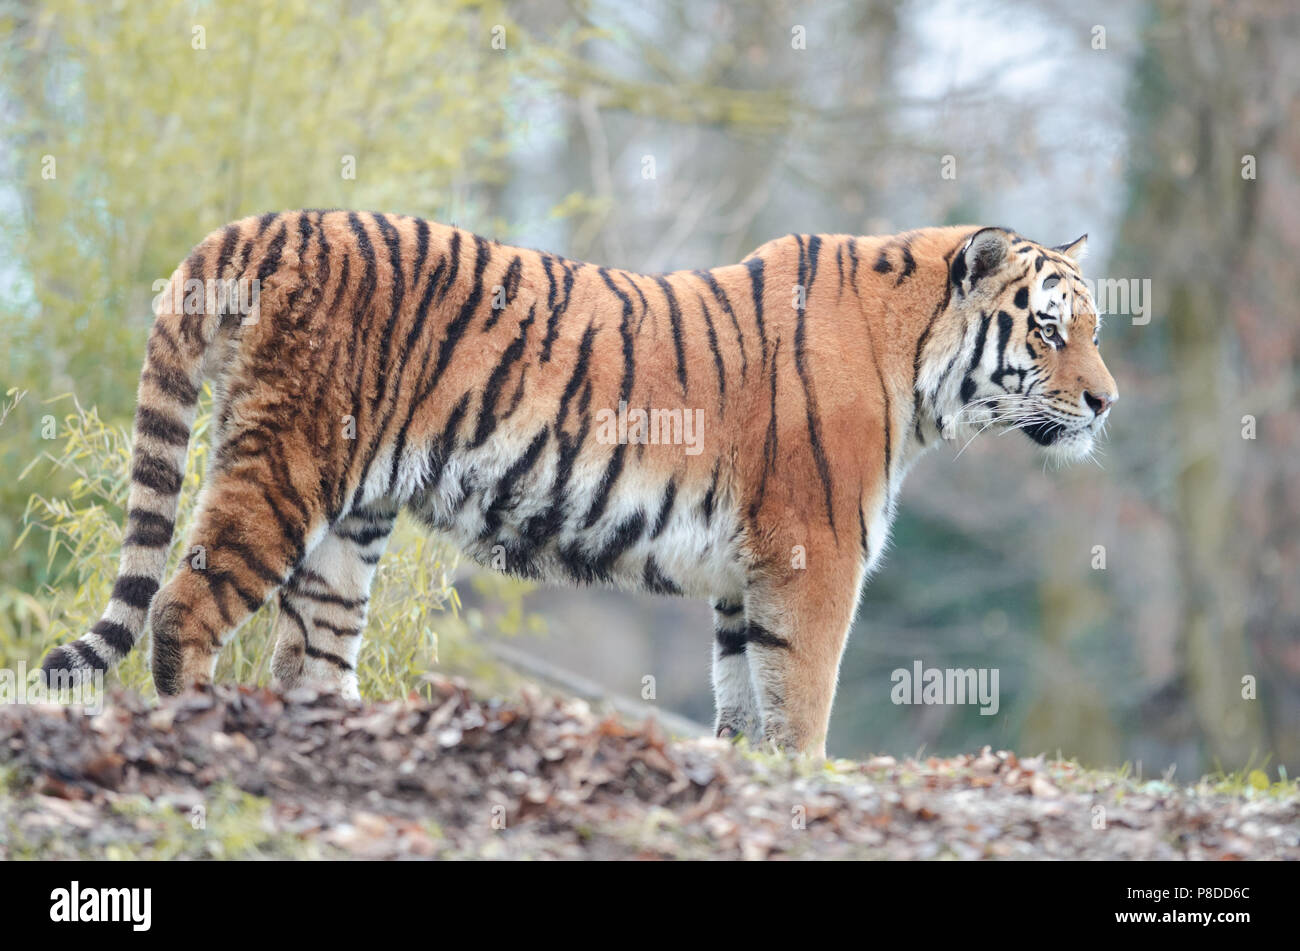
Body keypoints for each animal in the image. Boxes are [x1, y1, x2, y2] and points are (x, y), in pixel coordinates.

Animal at [40, 213, 1118, 758]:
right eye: (1049, 329)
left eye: (1095, 327)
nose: (1107, 403)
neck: (920, 366)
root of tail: (262, 225)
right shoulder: (815, 559)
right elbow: (803, 700)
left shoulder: (746, 577)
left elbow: (746, 704)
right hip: (288, 468)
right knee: (184, 608)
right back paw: (204, 730)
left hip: (352, 522)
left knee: (309, 655)